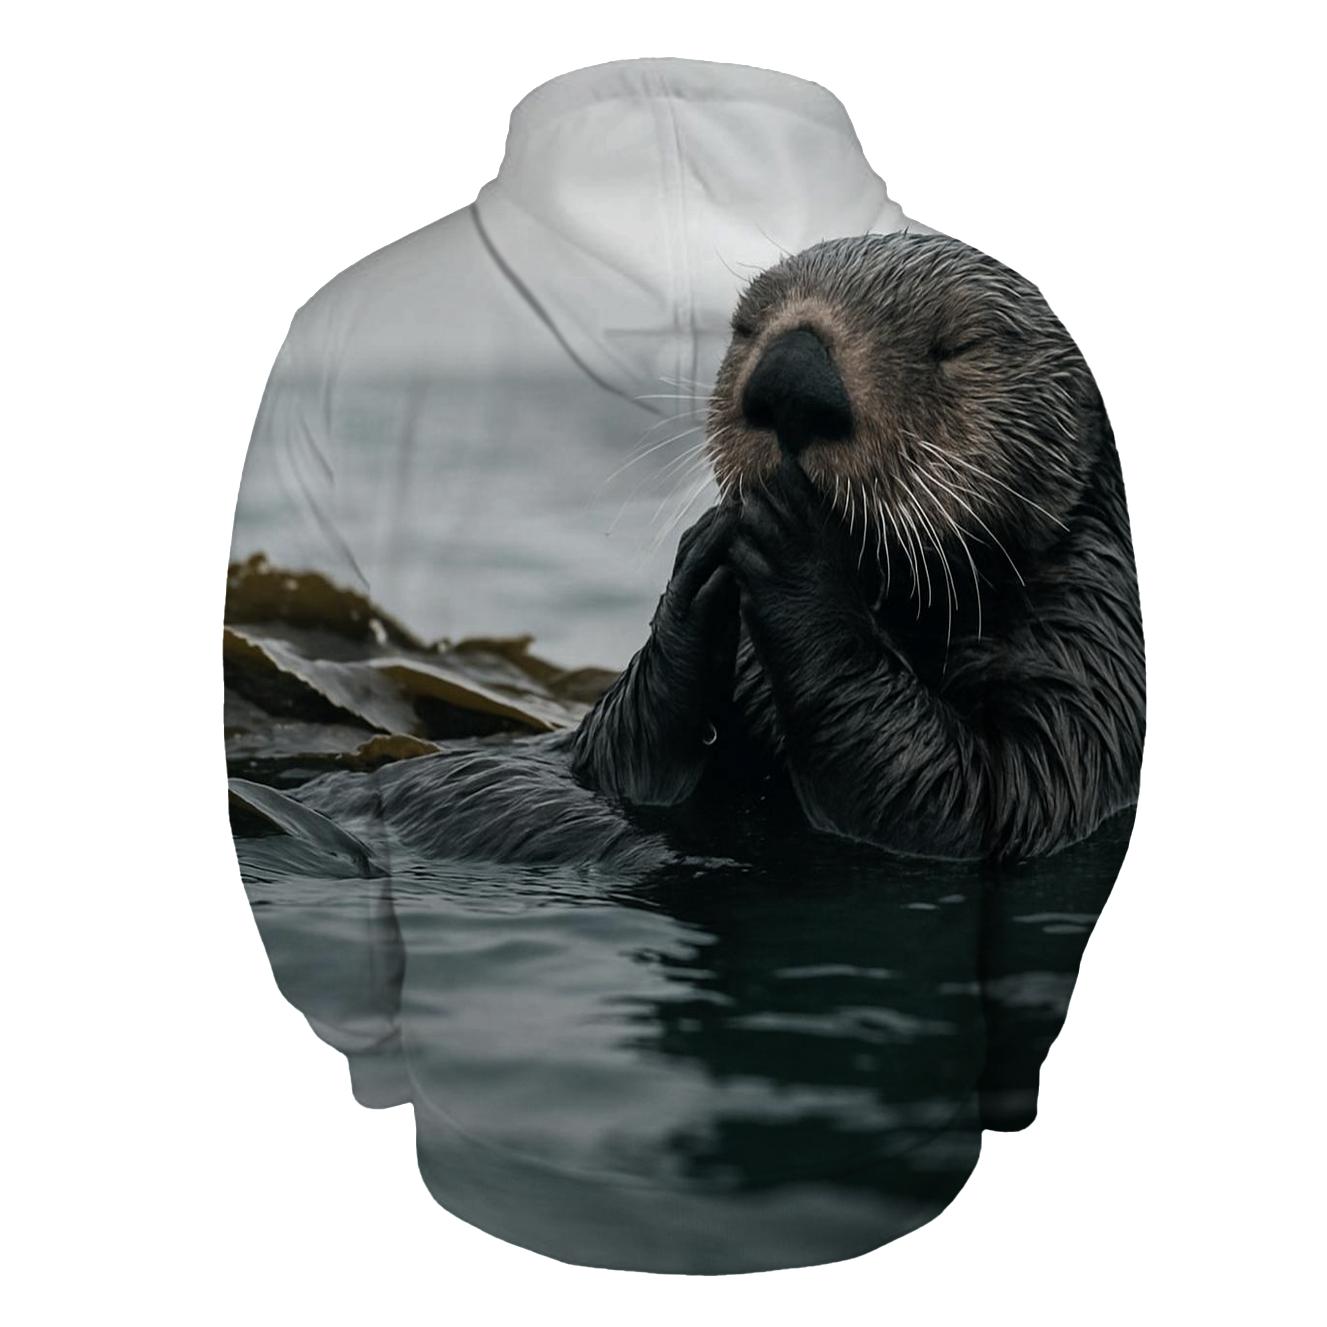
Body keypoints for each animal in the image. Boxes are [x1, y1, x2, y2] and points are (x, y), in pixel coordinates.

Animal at [280, 233, 1144, 867]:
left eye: (954, 346)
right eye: (745, 325)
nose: (791, 378)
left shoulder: (1091, 657)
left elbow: (992, 798)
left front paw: (796, 551)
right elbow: (619, 754)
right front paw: (698, 564)